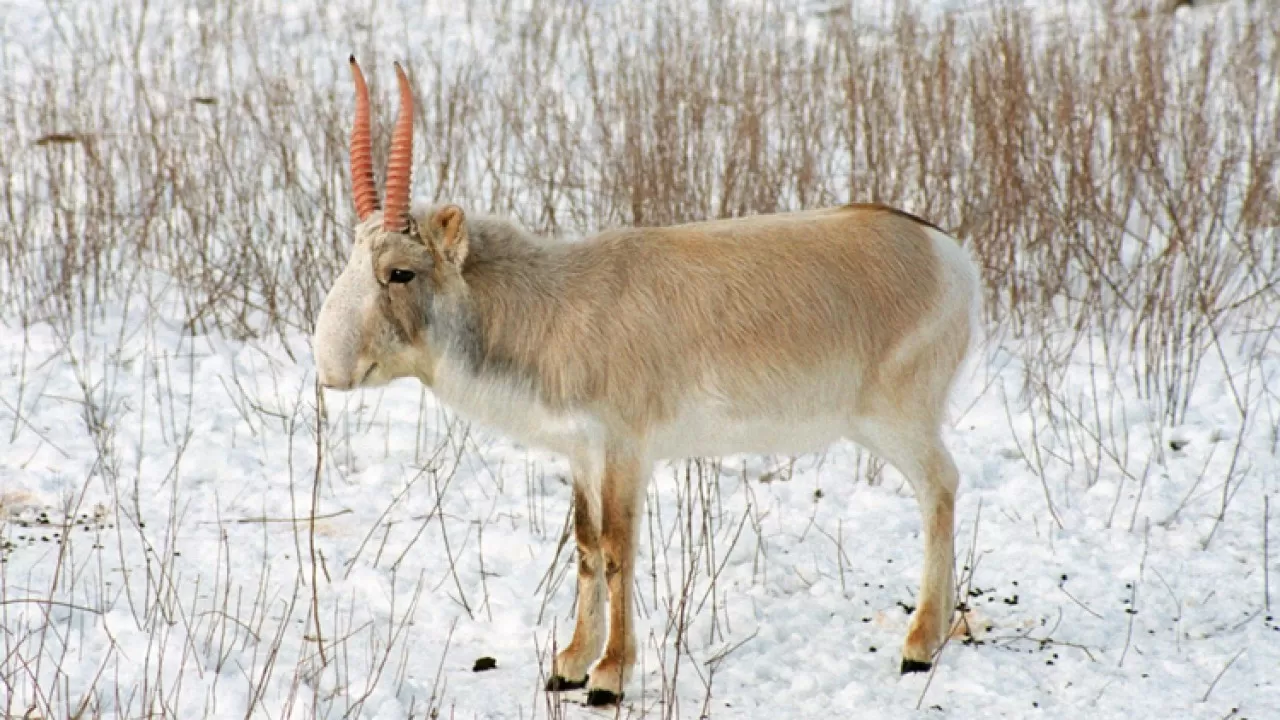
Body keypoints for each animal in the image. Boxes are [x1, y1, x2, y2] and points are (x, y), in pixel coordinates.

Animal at [312, 57, 977, 707]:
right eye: (351, 261)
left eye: (400, 271)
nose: (329, 368)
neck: (552, 304)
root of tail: (945, 253)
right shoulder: (582, 453)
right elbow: (585, 546)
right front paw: (568, 664)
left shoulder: (626, 452)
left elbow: (616, 549)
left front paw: (608, 676)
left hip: (897, 421)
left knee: (940, 486)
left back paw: (918, 646)